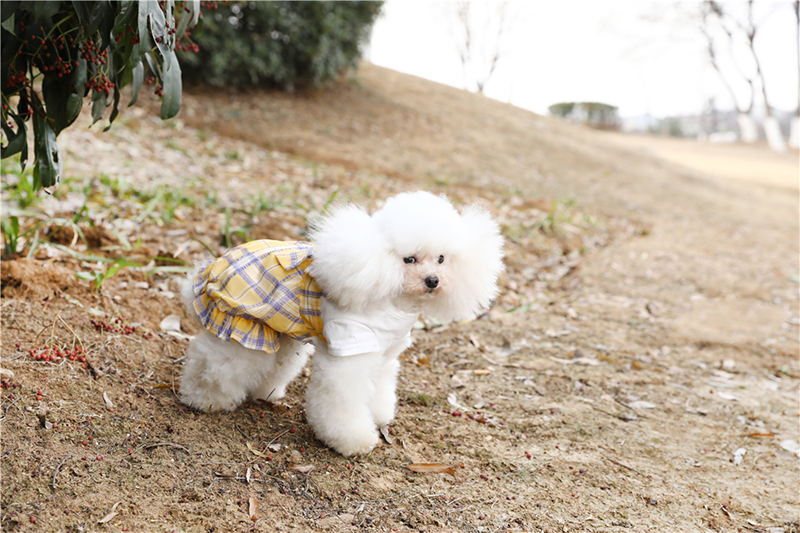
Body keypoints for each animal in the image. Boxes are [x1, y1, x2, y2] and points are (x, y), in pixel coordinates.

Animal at [179, 191, 504, 456]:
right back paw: (204, 399)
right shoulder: (351, 350)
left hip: (278, 331)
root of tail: (213, 265)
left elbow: (378, 387)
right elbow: (342, 400)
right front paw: (354, 440)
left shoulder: (384, 352)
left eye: (441, 259)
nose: (433, 281)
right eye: (409, 259)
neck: (391, 297)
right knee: (217, 363)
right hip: (241, 324)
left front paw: (378, 416)